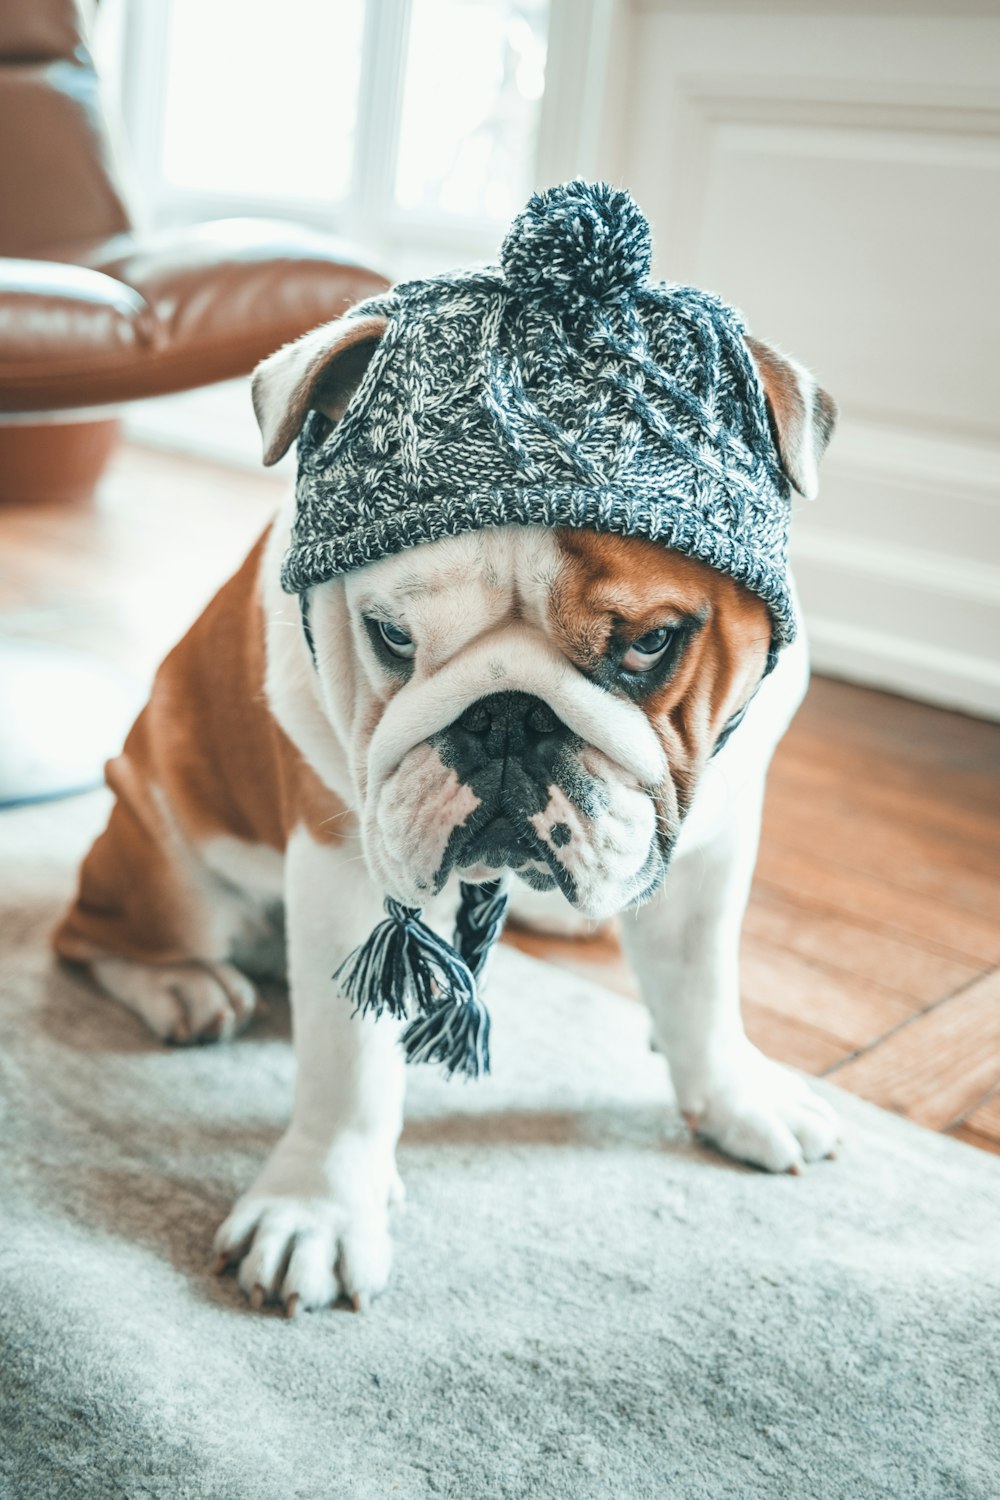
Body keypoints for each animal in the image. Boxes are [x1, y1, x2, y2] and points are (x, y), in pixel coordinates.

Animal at [52, 184, 839, 1314]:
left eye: (651, 643)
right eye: (390, 635)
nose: (506, 719)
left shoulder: (710, 842)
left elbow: (702, 984)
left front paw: (732, 1093)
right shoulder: (342, 859)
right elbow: (349, 1063)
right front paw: (321, 1208)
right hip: (161, 858)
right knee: (95, 932)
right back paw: (183, 987)